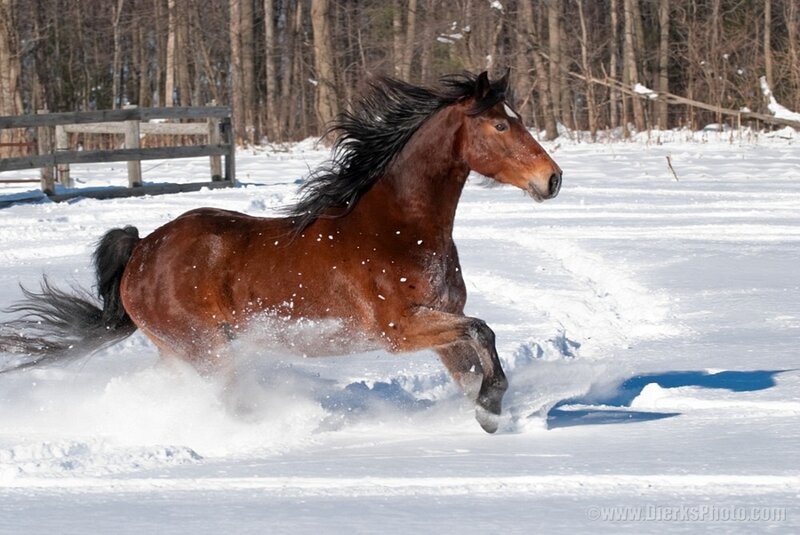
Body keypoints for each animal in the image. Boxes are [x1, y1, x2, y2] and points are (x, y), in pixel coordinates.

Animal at [0, 71, 562, 433]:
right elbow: (484, 331)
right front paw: (492, 403)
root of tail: (140, 251)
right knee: (226, 400)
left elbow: (472, 362)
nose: (552, 179)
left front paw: (489, 414)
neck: (399, 231)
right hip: (205, 349)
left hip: (183, 352)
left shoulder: (441, 323)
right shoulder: (400, 329)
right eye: (501, 125)